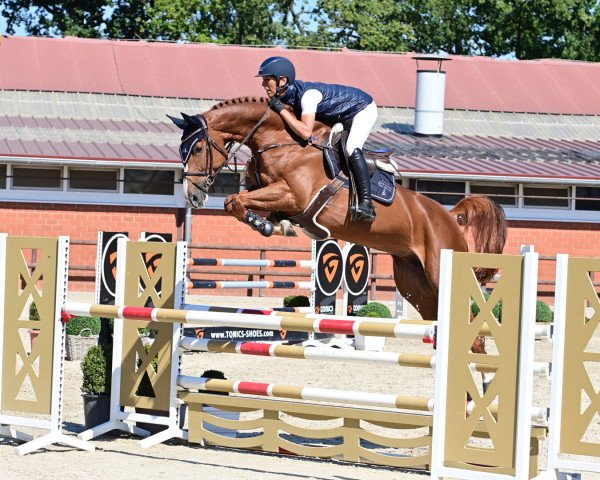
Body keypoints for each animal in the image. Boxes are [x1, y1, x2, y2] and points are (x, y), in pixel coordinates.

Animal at [168, 95, 506, 324]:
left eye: (199, 148)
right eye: (183, 150)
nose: (192, 197)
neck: (280, 140)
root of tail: (451, 218)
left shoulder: (294, 197)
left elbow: (236, 201)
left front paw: (265, 225)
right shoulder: (271, 194)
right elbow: (236, 201)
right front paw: (273, 225)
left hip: (440, 273)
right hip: (417, 285)